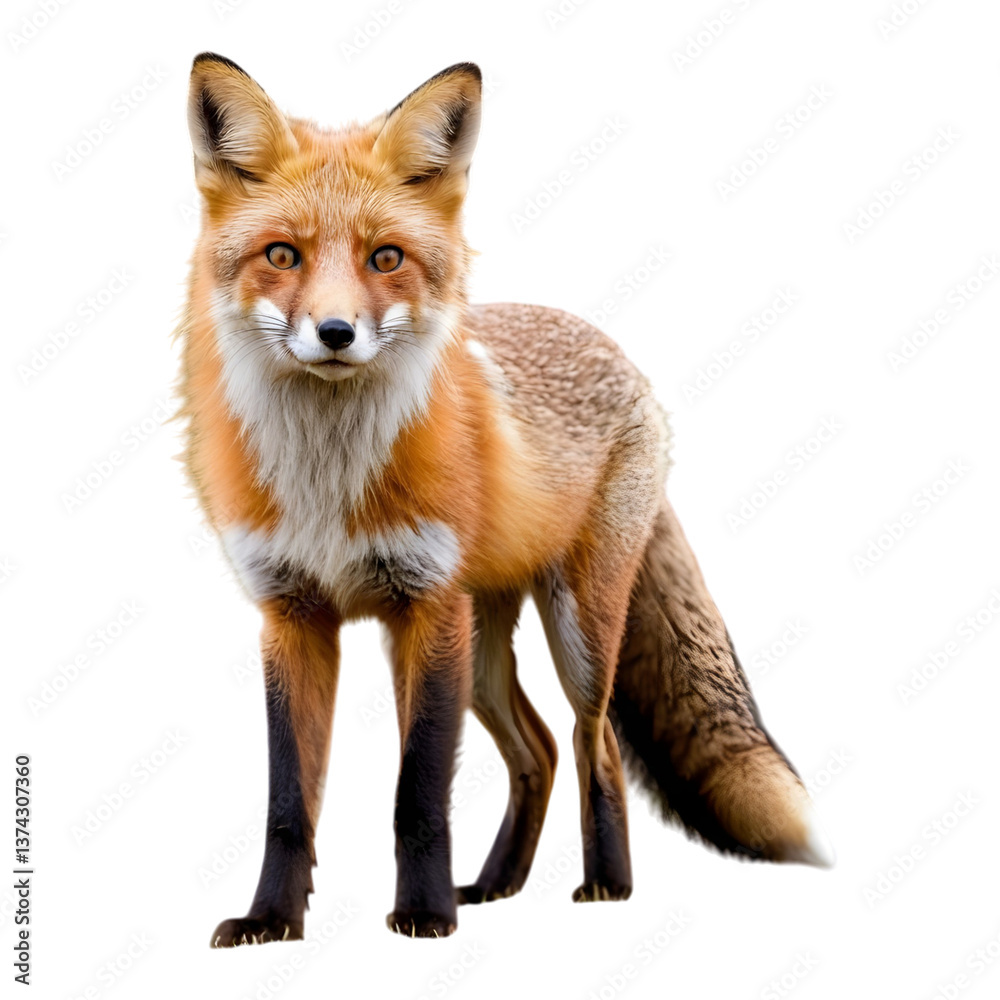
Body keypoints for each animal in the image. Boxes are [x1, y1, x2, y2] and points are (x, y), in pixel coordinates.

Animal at [178, 53, 834, 947]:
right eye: (282, 254)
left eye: (386, 259)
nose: (336, 334)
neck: (329, 481)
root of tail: (618, 350)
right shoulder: (294, 616)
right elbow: (289, 802)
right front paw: (271, 921)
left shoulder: (426, 607)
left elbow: (418, 793)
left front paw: (424, 915)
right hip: (482, 651)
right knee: (538, 751)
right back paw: (494, 884)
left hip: (574, 628)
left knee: (593, 742)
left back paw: (606, 886)